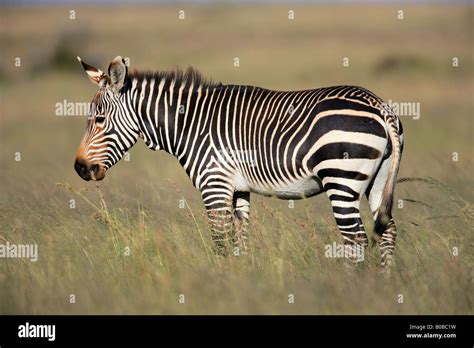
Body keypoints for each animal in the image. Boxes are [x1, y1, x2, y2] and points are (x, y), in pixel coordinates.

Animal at [74, 56, 404, 270]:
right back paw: (384, 286)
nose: (80, 168)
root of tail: (378, 105)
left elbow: (220, 242)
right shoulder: (239, 189)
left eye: (99, 119)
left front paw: (222, 284)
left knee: (356, 239)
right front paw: (242, 281)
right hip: (376, 182)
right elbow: (240, 240)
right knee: (387, 232)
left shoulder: (214, 185)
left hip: (341, 179)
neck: (190, 124)